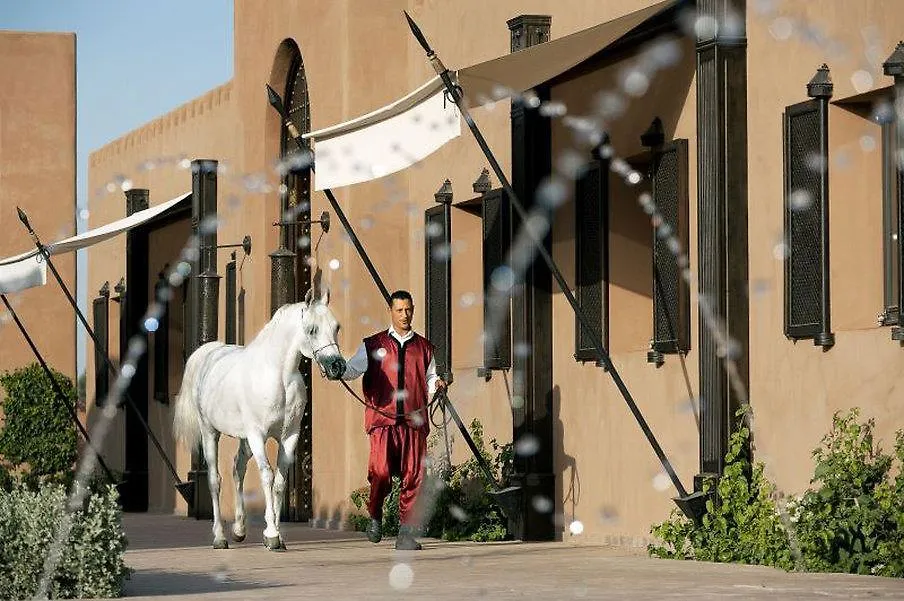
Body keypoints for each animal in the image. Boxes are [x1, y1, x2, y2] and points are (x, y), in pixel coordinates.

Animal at [174, 284, 346, 552]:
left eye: (336, 327)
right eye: (312, 329)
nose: (337, 367)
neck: (278, 377)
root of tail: (210, 353)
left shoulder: (289, 437)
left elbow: (279, 482)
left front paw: (275, 535)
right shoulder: (258, 435)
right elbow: (267, 475)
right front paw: (272, 534)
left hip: (244, 440)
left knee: (237, 469)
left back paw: (239, 530)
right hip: (210, 433)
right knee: (214, 479)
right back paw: (220, 537)